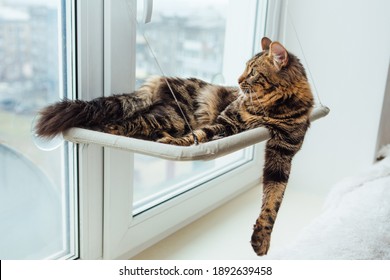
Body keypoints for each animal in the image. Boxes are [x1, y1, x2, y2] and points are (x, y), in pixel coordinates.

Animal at [35, 37, 314, 256]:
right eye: (246, 68)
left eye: (254, 72)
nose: (238, 79)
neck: (271, 111)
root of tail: (161, 79)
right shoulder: (225, 122)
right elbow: (197, 137)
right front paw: (175, 143)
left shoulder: (283, 152)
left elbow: (273, 201)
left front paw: (262, 239)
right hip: (173, 116)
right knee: (126, 120)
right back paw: (105, 129)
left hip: (168, 118)